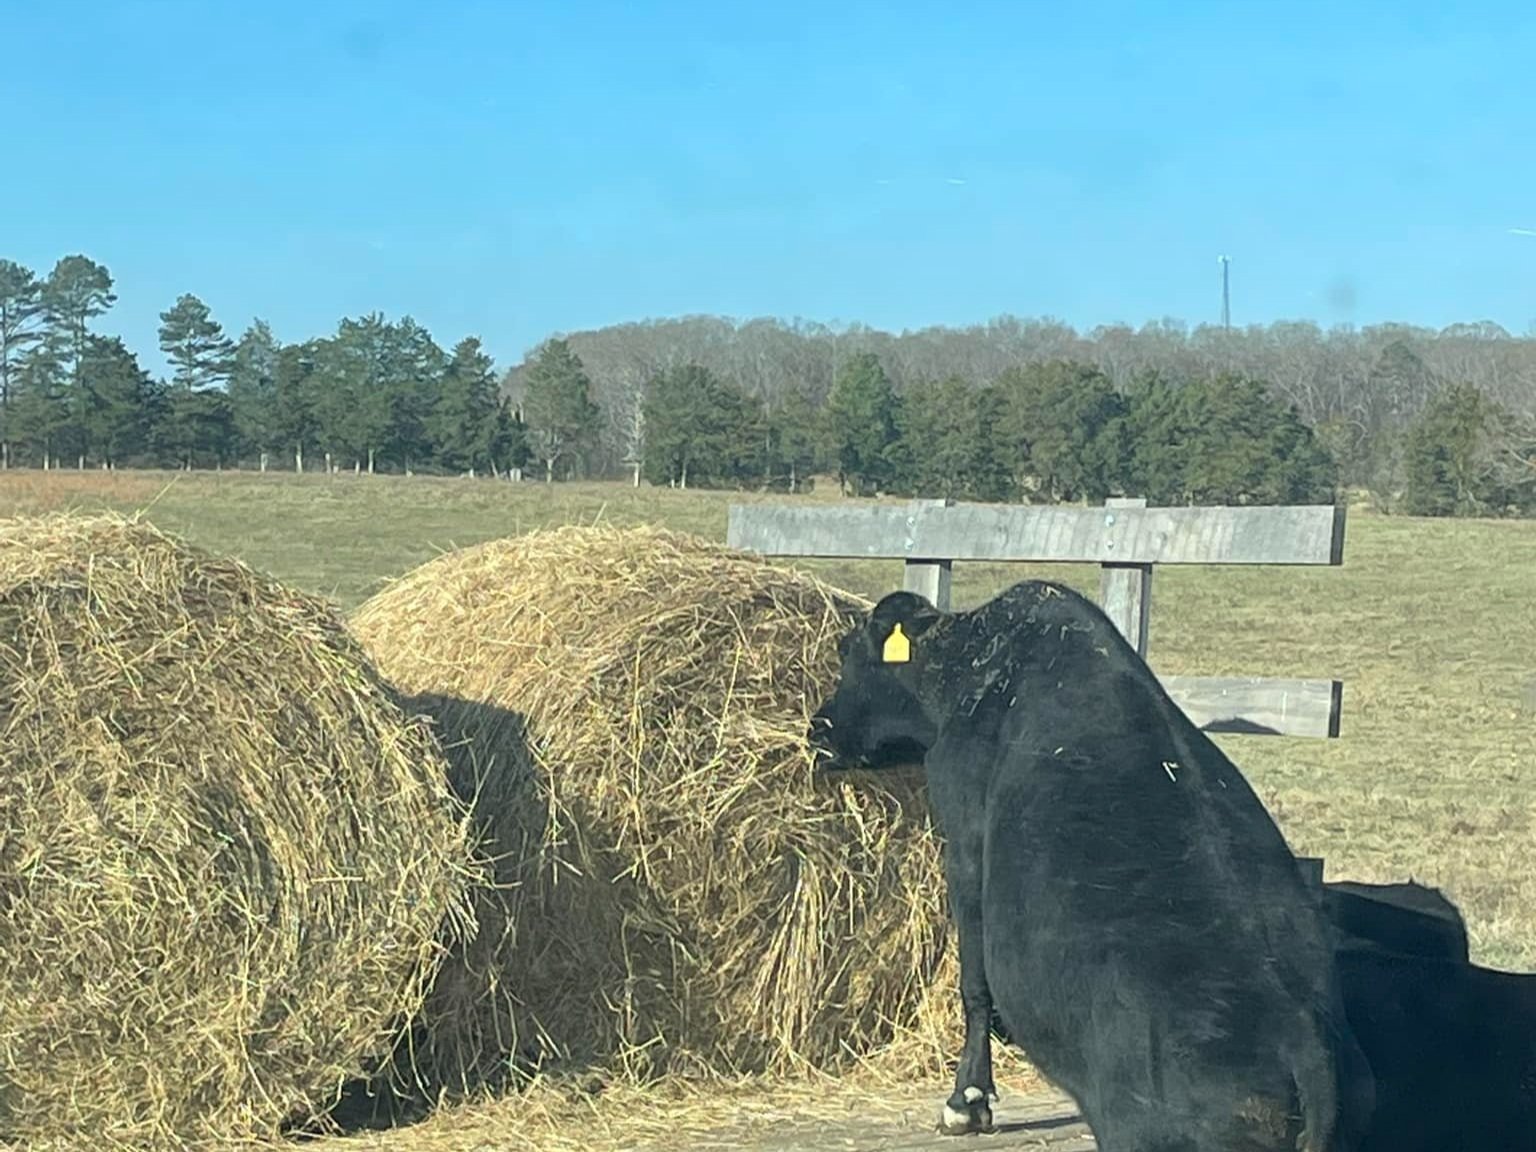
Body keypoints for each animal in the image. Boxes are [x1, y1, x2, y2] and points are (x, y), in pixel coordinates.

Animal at [808, 580, 1375, 1152]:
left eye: (846, 650)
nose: (817, 728)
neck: (976, 662)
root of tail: (1306, 1053)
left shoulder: (965, 838)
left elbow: (975, 983)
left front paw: (966, 1101)